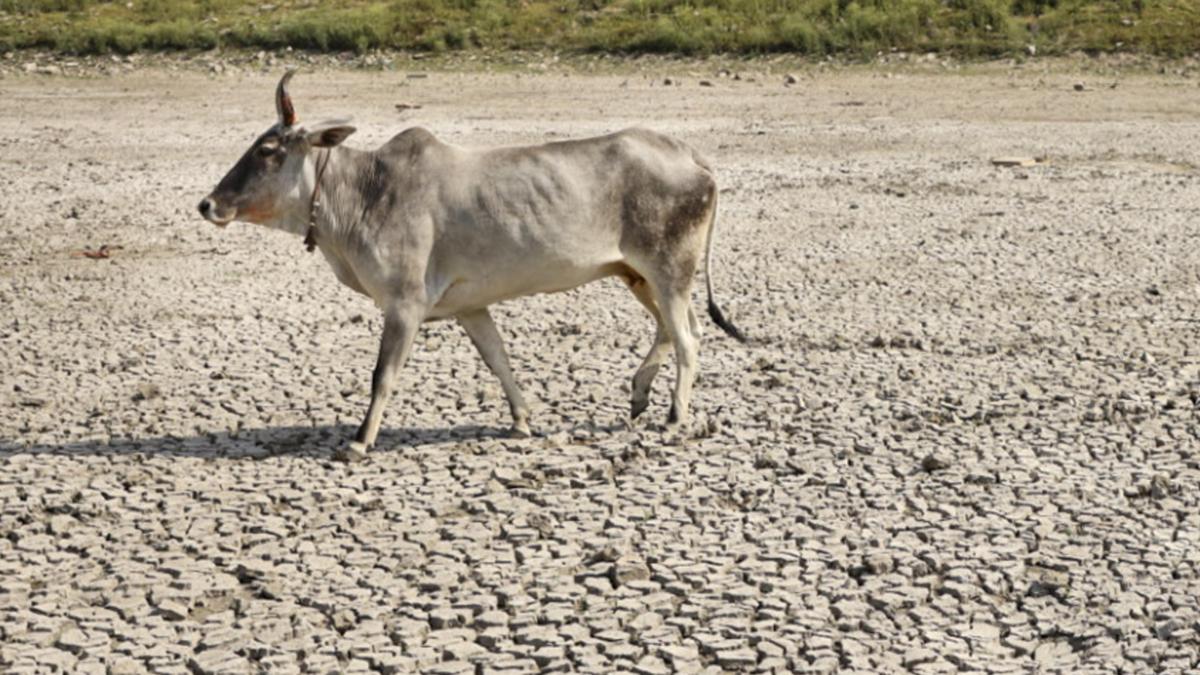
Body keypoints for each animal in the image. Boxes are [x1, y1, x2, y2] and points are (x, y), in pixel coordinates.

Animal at [198, 71, 745, 462]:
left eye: (268, 150)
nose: (208, 205)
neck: (366, 191)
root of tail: (690, 155)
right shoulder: (470, 307)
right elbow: (498, 360)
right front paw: (521, 420)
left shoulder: (404, 304)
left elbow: (383, 374)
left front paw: (358, 441)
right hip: (639, 274)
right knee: (674, 329)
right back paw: (638, 394)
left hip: (668, 269)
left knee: (689, 337)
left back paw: (674, 417)